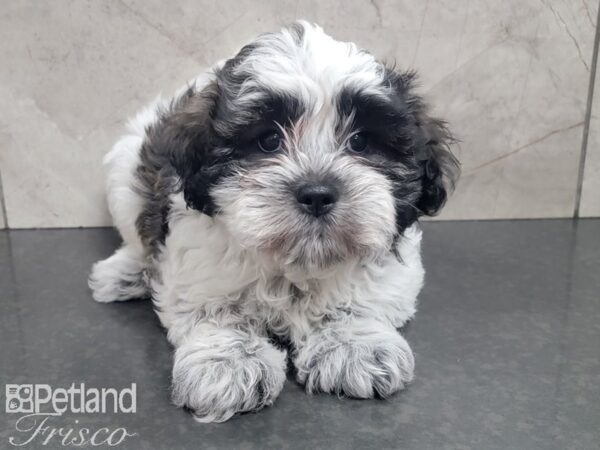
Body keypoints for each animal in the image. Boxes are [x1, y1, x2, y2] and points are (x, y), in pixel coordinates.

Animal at [88, 21, 460, 422]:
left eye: (361, 142)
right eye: (268, 141)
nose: (317, 193)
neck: (296, 263)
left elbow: (362, 296)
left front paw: (355, 344)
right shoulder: (199, 261)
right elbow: (215, 309)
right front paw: (228, 363)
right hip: (126, 175)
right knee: (135, 236)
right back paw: (123, 274)